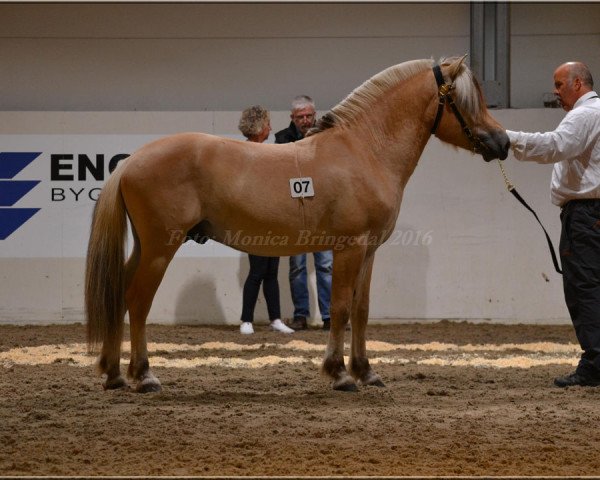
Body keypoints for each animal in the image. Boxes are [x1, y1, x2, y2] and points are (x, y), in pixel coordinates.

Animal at [83, 57, 506, 394]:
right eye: (463, 100)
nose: (502, 142)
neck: (364, 150)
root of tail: (131, 161)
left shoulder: (369, 252)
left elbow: (362, 310)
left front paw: (366, 372)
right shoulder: (349, 248)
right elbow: (340, 308)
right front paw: (339, 375)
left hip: (144, 247)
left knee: (119, 294)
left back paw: (114, 374)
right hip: (160, 248)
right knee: (137, 300)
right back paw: (143, 376)